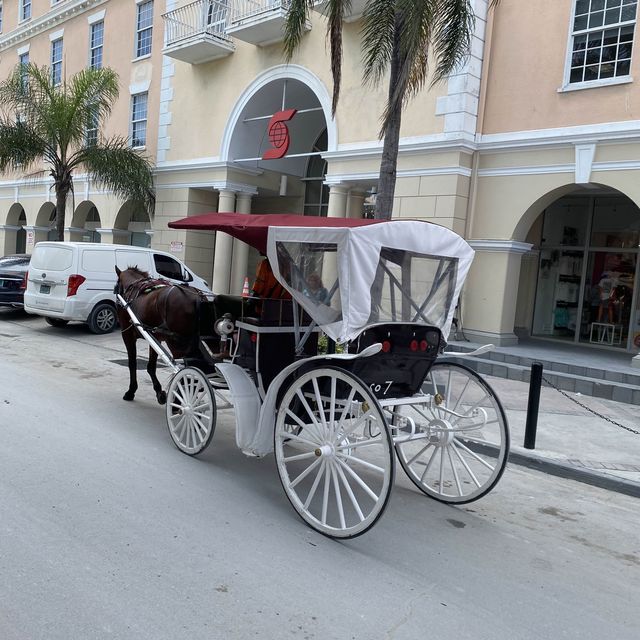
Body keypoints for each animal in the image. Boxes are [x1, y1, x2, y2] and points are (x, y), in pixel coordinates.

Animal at [114, 268, 206, 402]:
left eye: (116, 286)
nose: (117, 303)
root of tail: (197, 297)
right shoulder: (154, 337)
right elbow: (151, 366)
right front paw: (159, 392)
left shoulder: (127, 335)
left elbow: (132, 363)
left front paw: (131, 391)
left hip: (178, 344)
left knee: (186, 371)